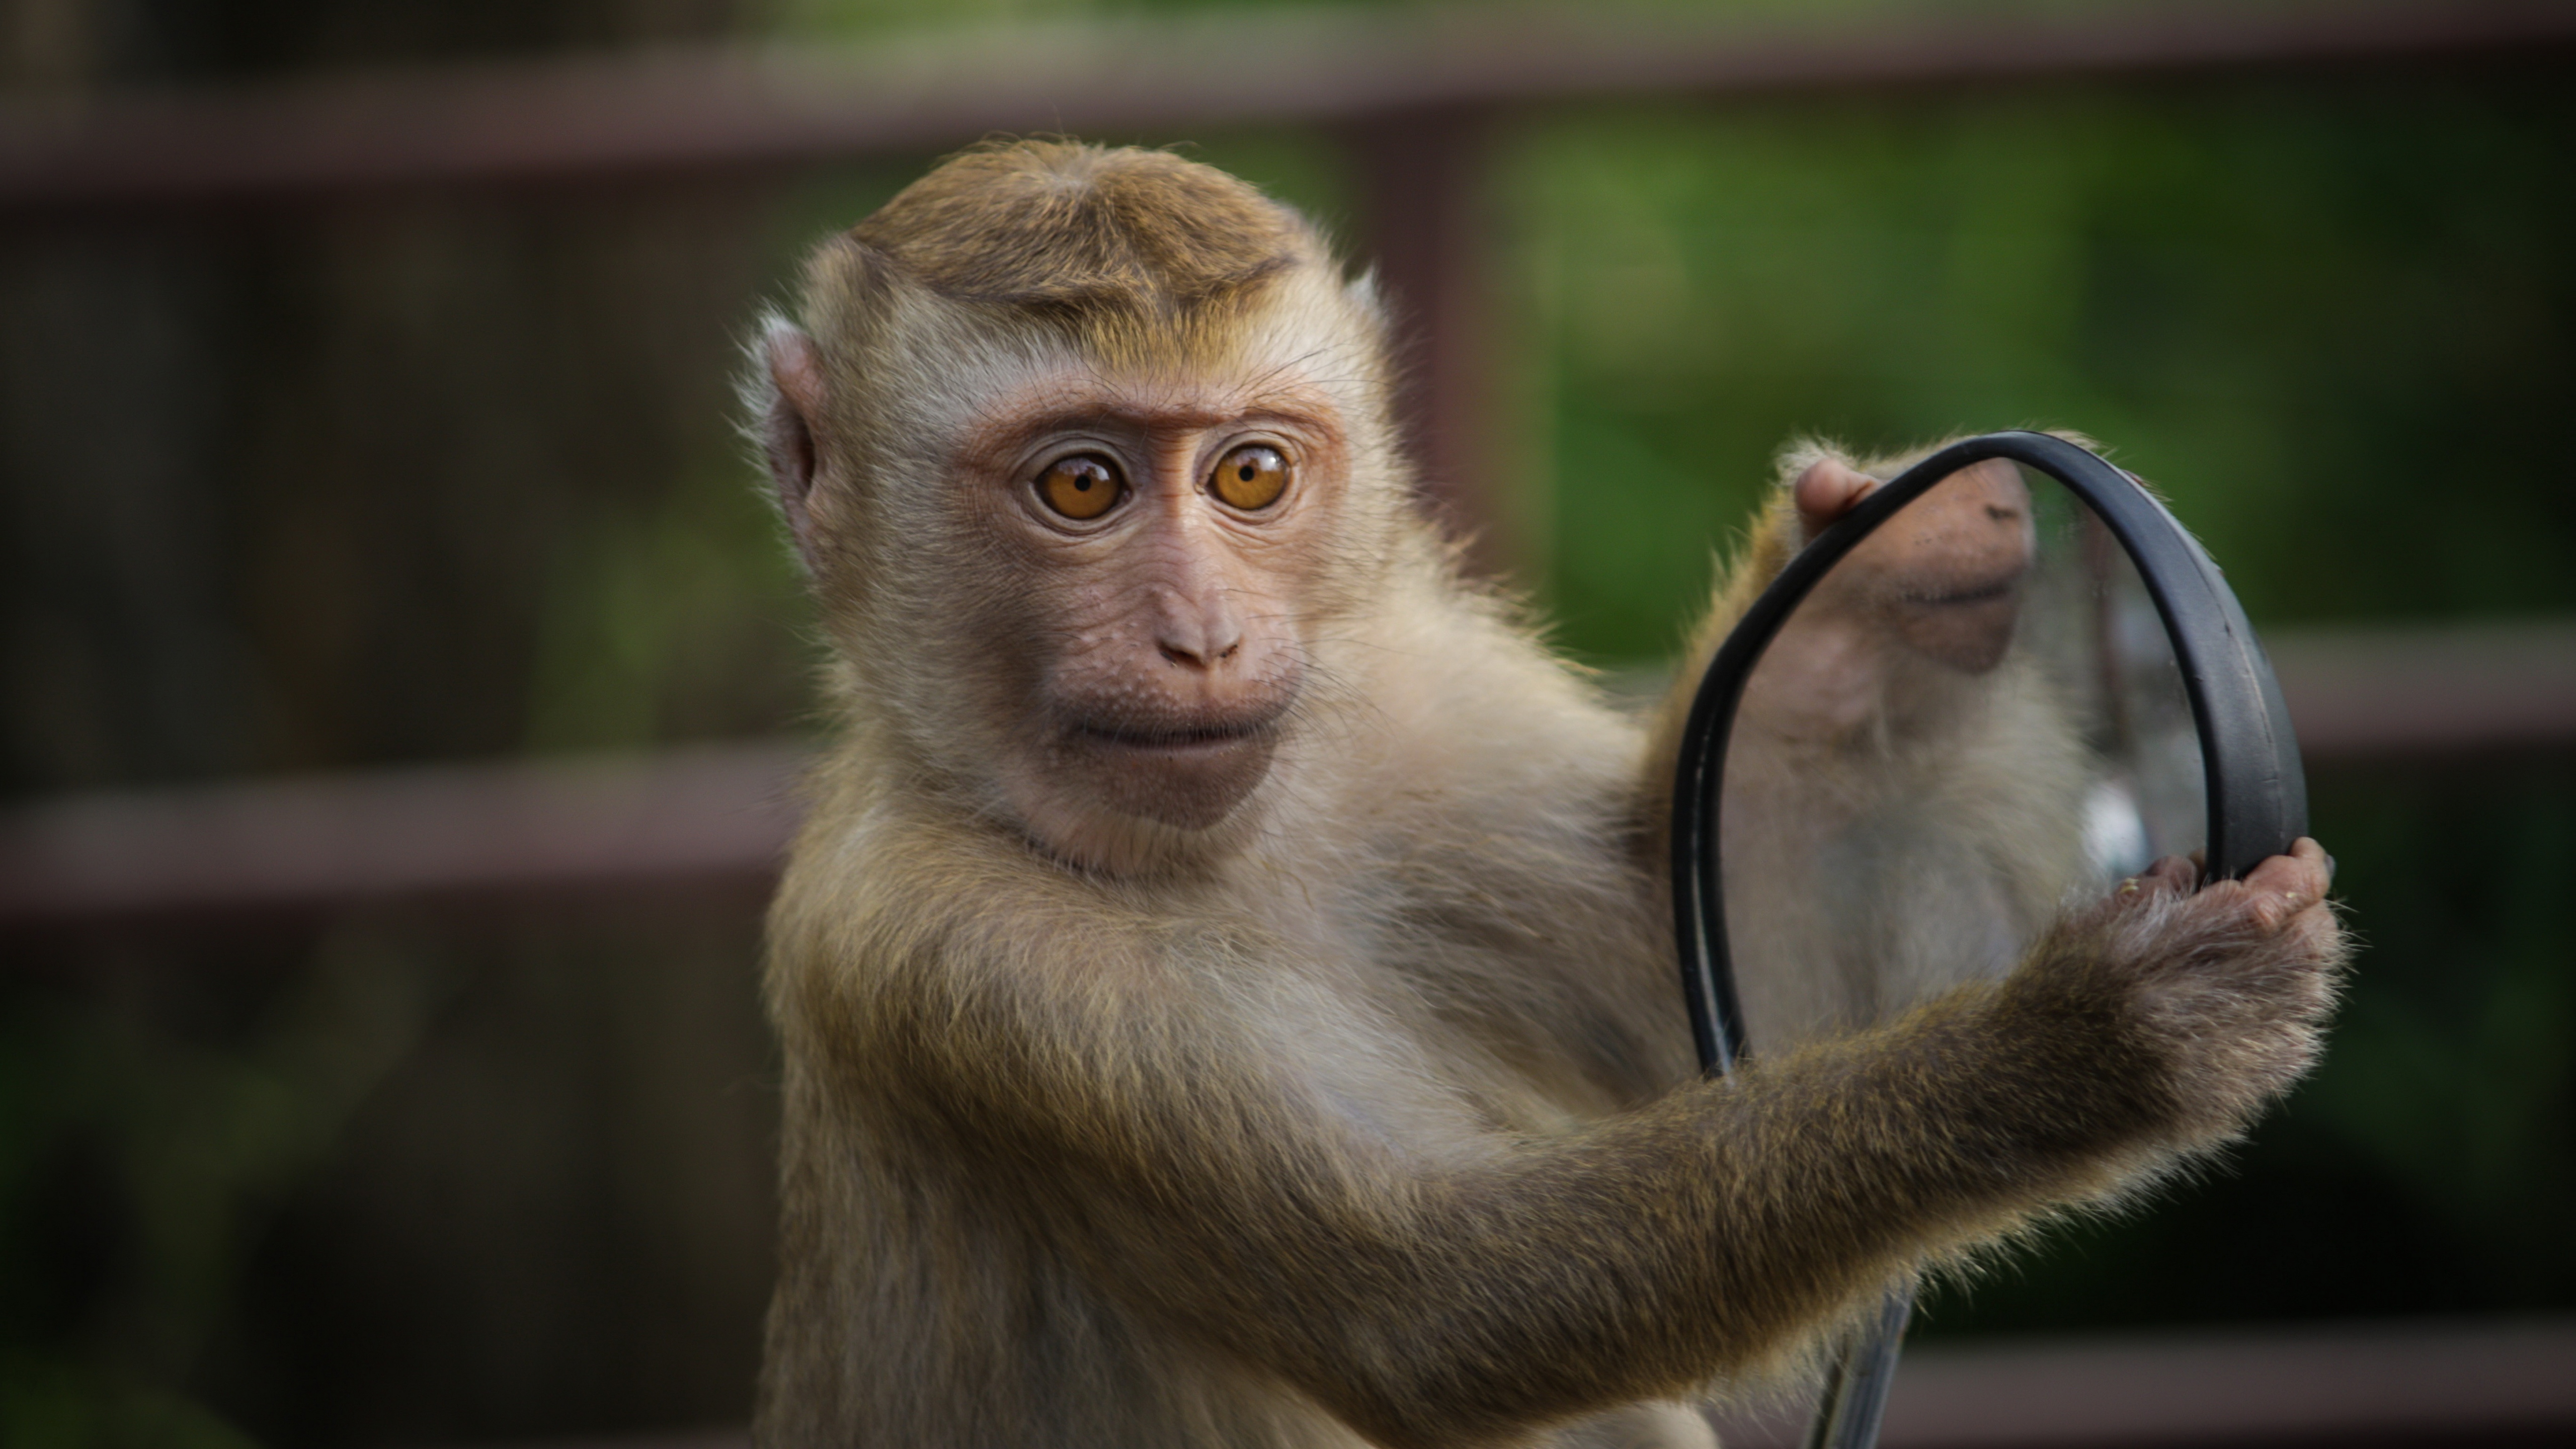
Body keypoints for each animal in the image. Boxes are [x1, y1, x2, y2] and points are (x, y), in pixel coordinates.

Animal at [737, 143, 2349, 1443]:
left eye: (1251, 474)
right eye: (1080, 487)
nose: (1202, 636)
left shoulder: (1418, 710)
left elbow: (1701, 972)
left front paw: (1866, 594)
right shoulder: (949, 956)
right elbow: (1436, 1306)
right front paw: (2082, 1046)